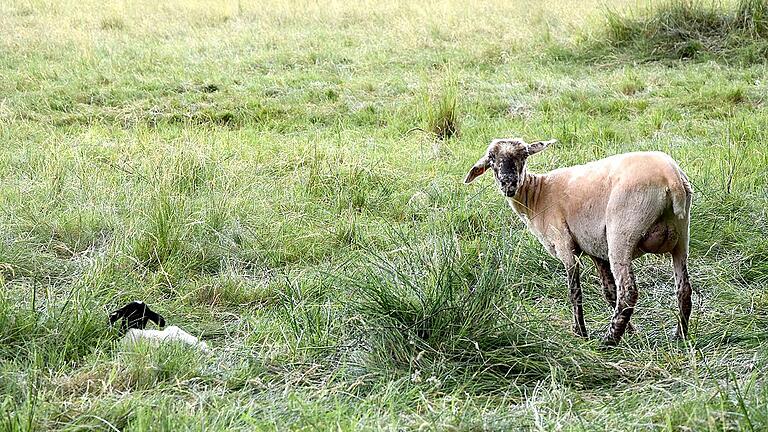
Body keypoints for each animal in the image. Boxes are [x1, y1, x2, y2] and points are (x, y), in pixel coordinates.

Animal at [464, 140, 692, 346]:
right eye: (491, 158)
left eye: (524, 155)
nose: (508, 183)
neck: (537, 195)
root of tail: (670, 176)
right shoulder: (595, 248)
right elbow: (609, 292)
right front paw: (632, 331)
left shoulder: (564, 245)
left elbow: (575, 292)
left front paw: (580, 333)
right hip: (681, 236)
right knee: (683, 289)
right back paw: (679, 336)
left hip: (622, 233)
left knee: (628, 292)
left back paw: (608, 342)